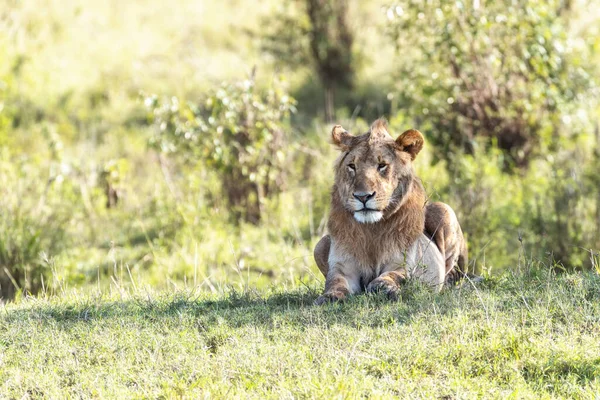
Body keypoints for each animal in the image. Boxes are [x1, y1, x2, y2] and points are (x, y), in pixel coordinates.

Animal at [312, 118, 472, 304]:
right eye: (352, 166)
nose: (363, 196)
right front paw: (329, 296)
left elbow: (392, 275)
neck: (371, 229)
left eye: (382, 166)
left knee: (454, 272)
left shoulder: (401, 263)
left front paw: (383, 287)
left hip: (444, 210)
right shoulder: (343, 267)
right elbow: (335, 281)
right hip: (321, 243)